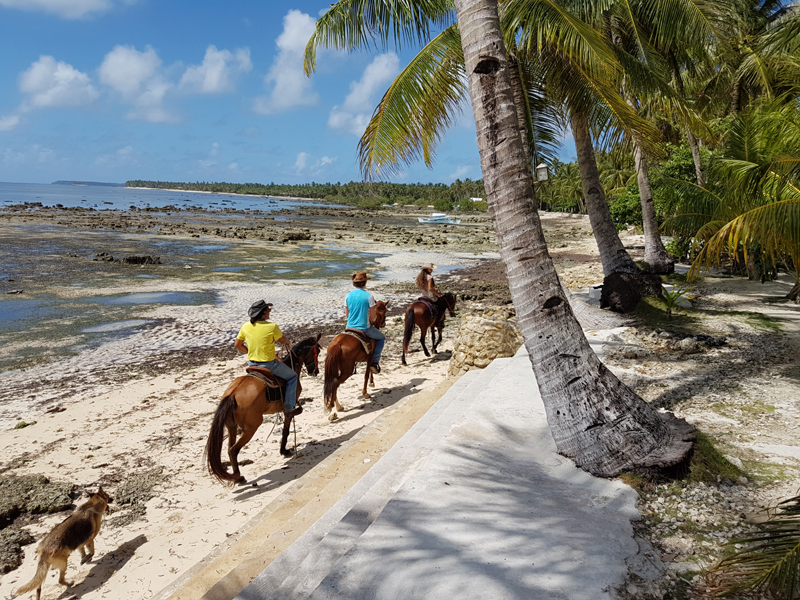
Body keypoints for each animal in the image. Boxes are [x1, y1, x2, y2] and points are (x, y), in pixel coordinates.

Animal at [205, 336, 324, 486]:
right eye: (317, 351)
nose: (315, 371)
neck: (291, 365)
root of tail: (232, 394)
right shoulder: (288, 410)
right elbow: (286, 430)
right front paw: (284, 451)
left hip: (231, 426)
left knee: (229, 448)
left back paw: (236, 476)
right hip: (251, 427)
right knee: (233, 450)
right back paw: (239, 477)